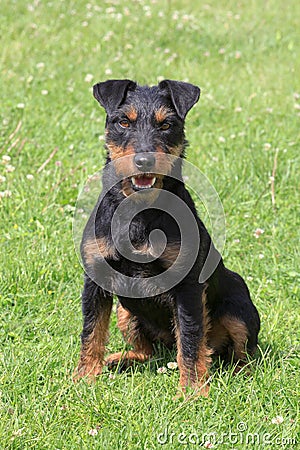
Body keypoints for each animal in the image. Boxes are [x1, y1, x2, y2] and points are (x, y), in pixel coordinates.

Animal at [73, 79, 260, 396]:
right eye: (123, 122)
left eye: (166, 124)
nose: (144, 160)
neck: (138, 211)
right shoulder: (97, 279)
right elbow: (92, 331)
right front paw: (84, 378)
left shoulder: (188, 288)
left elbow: (191, 338)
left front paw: (193, 391)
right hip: (125, 313)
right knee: (148, 350)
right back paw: (121, 360)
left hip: (238, 308)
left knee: (238, 352)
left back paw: (238, 375)